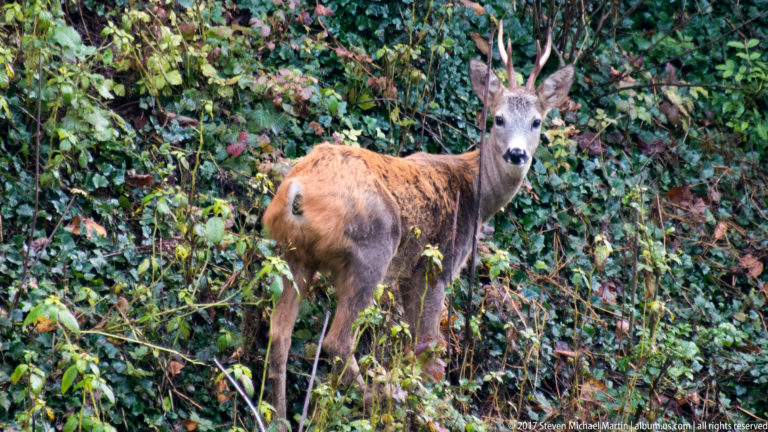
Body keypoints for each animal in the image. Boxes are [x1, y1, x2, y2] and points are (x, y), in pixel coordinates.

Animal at [262, 22, 574, 426]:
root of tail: (296, 190)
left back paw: (280, 418)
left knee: (279, 336)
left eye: (537, 121)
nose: (517, 153)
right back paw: (383, 399)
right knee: (337, 340)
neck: (476, 193)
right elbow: (427, 348)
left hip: (293, 254)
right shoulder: (434, 265)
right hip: (373, 247)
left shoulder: (410, 274)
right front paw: (425, 401)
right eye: (498, 118)